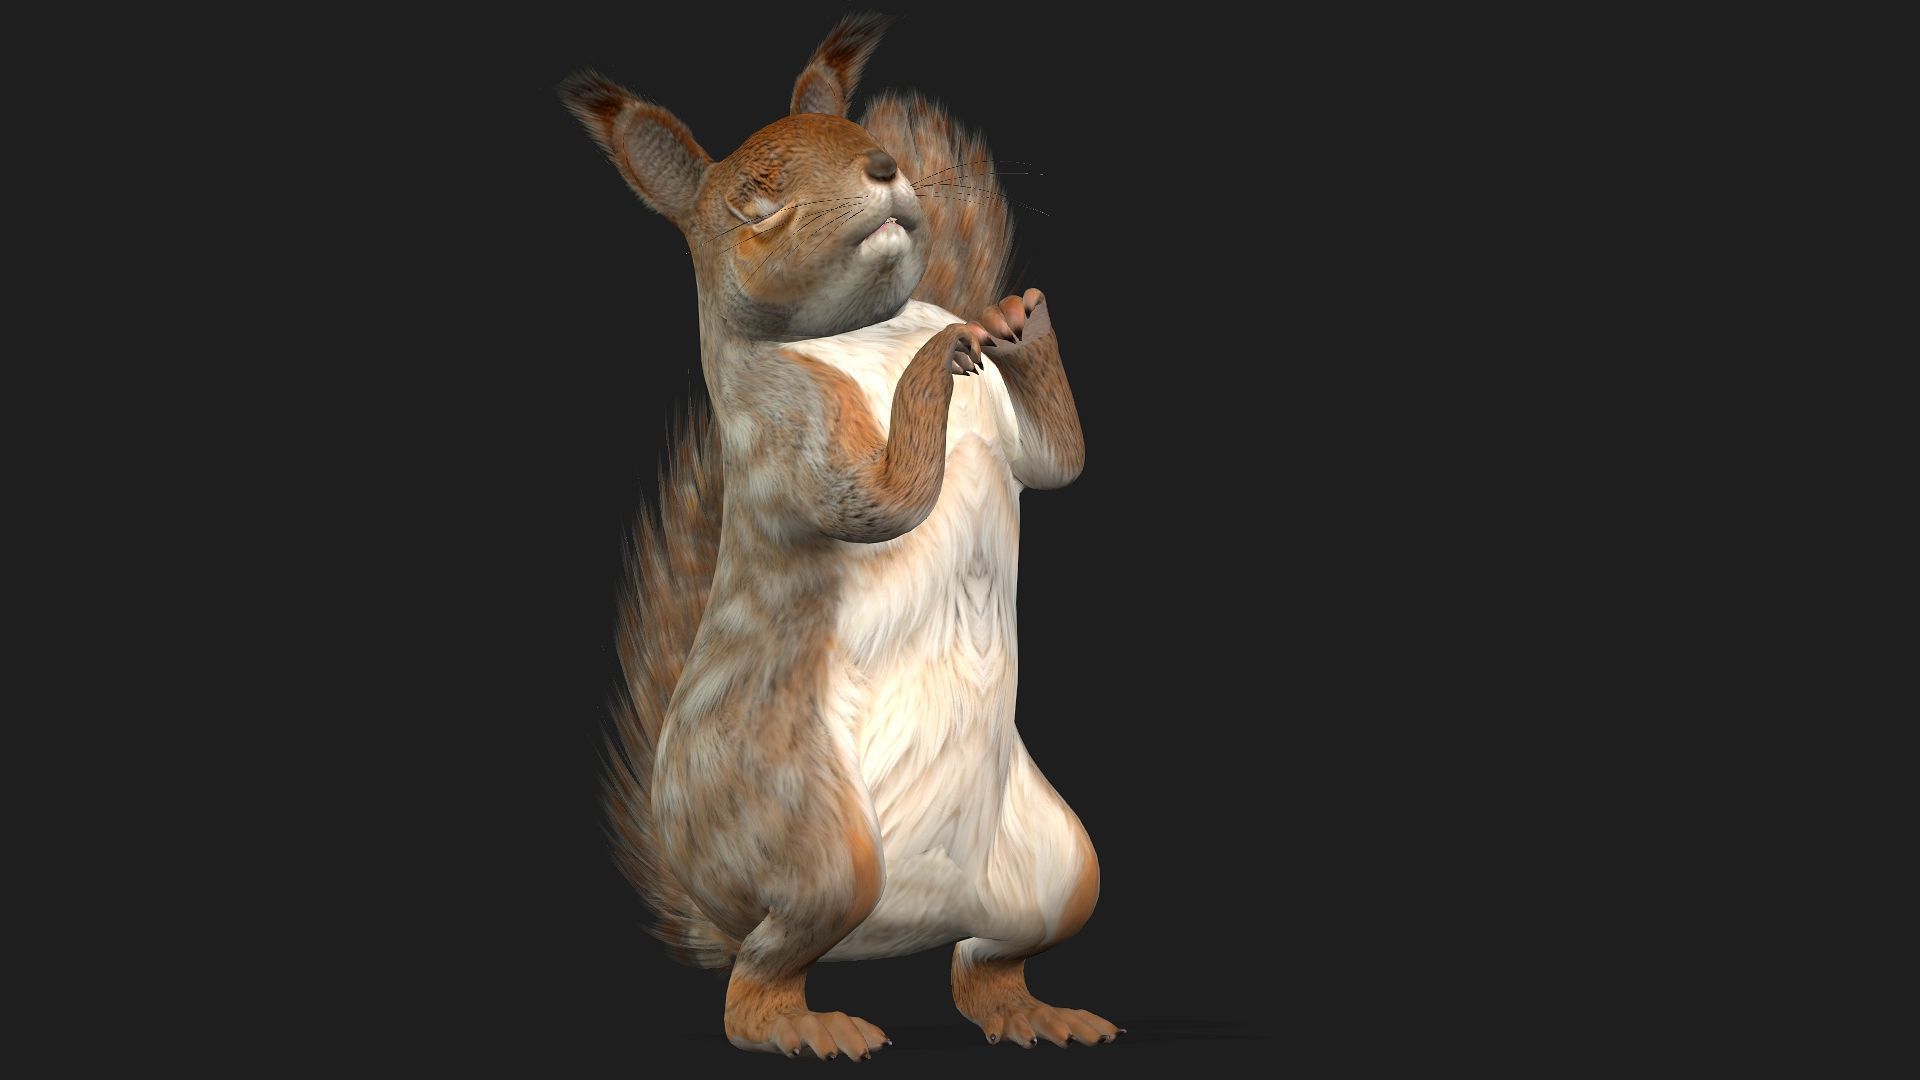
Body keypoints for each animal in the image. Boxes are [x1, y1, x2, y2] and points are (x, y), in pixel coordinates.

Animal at [561, 13, 1114, 1058]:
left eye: (860, 140)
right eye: (755, 202)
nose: (887, 165)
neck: (868, 332)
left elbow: (1058, 463)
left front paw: (1013, 320)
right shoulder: (781, 423)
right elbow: (877, 499)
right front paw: (947, 350)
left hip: (1063, 871)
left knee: (983, 963)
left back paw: (1033, 1012)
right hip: (815, 842)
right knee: (755, 986)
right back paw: (808, 1027)